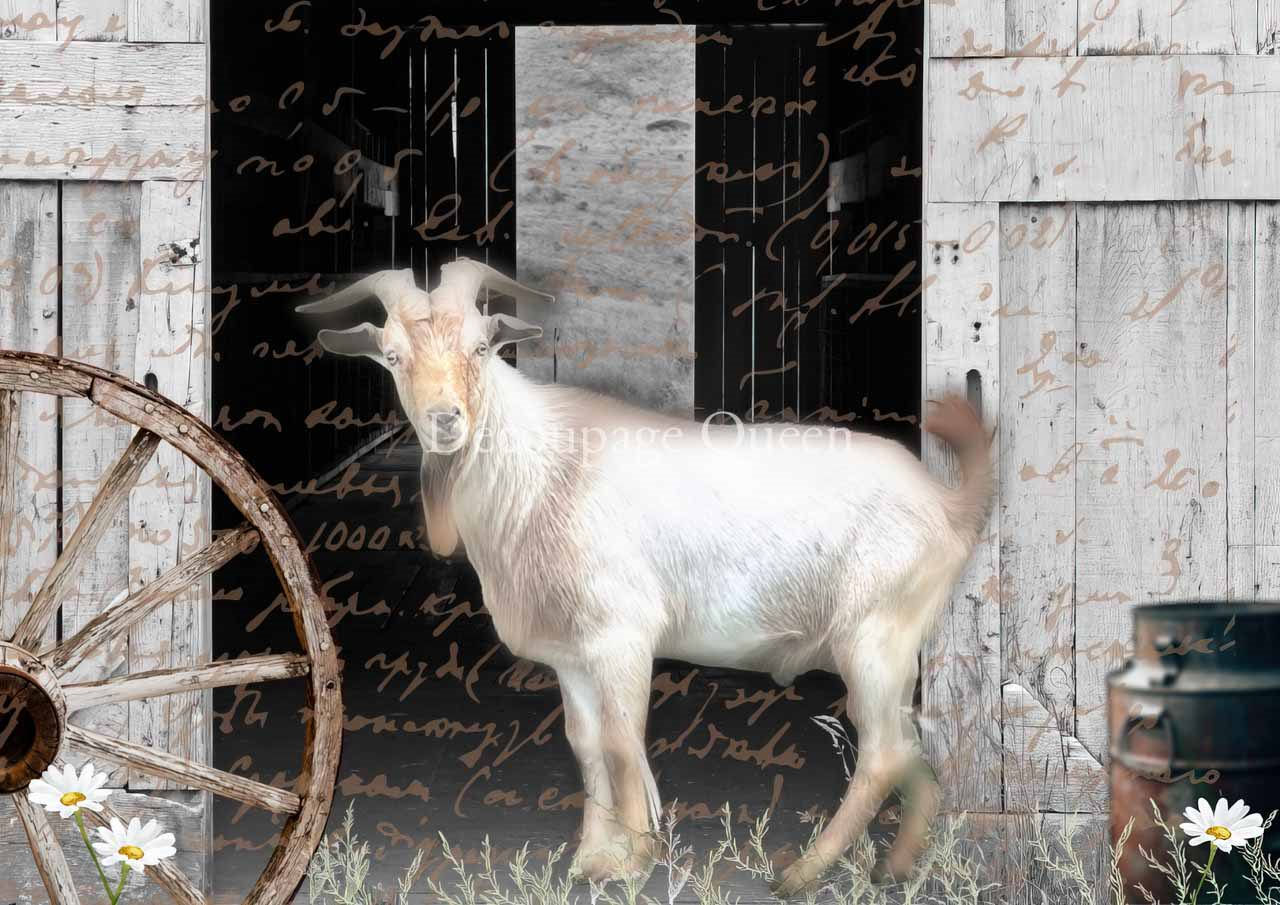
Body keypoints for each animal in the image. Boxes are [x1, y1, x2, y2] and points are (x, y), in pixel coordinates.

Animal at [298, 260, 993, 896]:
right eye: (392, 355)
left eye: (481, 345)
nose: (445, 419)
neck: (543, 471)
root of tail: (948, 503)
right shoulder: (572, 656)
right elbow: (586, 745)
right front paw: (589, 858)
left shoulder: (621, 638)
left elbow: (622, 740)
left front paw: (631, 860)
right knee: (910, 747)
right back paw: (895, 868)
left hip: (876, 636)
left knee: (883, 752)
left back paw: (801, 873)